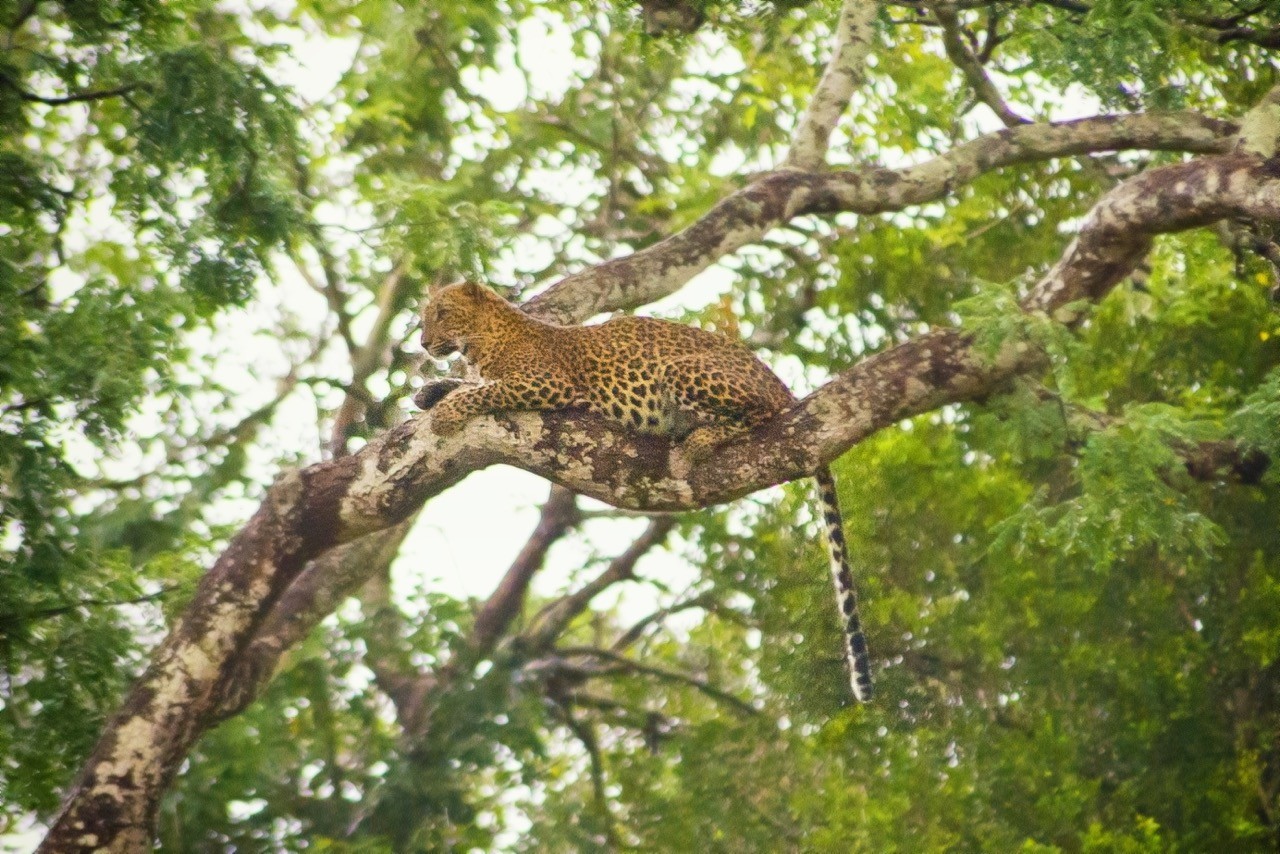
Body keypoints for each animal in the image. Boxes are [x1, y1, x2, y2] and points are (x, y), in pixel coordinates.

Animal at [414, 280, 875, 701]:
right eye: (424, 316)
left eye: (442, 313)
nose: (422, 343)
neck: (479, 344)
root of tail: (782, 385)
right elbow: (466, 383)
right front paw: (430, 391)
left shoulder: (545, 381)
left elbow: (486, 390)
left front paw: (445, 413)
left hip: (684, 372)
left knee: (760, 414)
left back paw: (699, 439)